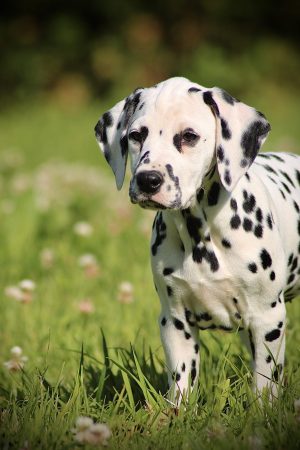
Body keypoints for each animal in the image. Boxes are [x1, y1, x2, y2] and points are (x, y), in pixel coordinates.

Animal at [94, 76, 300, 400]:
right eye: (136, 135)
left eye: (189, 136)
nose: (148, 180)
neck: (201, 235)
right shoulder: (175, 321)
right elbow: (181, 383)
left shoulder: (268, 319)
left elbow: (265, 382)